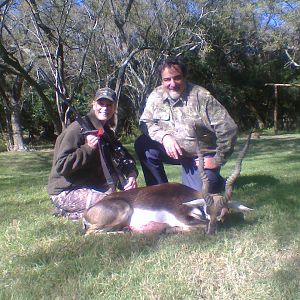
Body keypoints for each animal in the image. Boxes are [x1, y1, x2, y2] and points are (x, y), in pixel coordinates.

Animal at [82, 135, 253, 236]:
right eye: (207, 209)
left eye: (223, 212)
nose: (211, 233)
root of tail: (87, 212)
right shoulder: (181, 216)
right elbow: (201, 224)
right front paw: (171, 229)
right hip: (123, 210)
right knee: (89, 233)